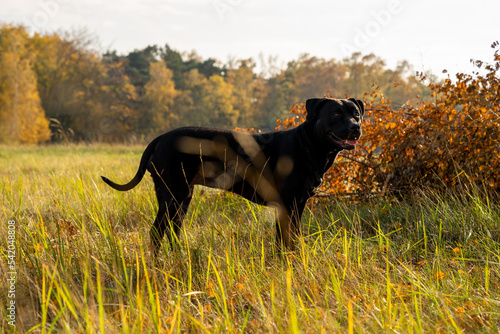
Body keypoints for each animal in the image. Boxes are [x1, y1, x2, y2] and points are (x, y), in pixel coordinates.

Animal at [102, 98, 364, 258]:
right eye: (336, 114)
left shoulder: (297, 204)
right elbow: (285, 238)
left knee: (172, 231)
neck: (310, 145)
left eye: (357, 114)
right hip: (173, 194)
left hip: (181, 197)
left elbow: (293, 236)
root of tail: (159, 139)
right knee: (157, 232)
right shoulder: (287, 204)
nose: (355, 128)